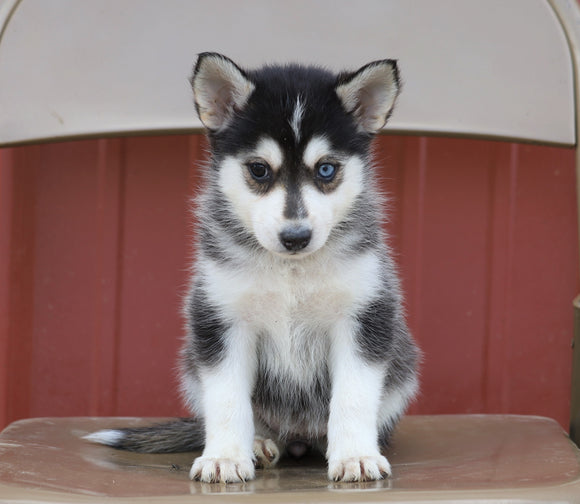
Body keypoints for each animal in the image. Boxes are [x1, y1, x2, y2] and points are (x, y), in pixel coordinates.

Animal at [86, 52, 420, 484]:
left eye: (326, 169)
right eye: (259, 169)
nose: (296, 236)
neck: (290, 271)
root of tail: (297, 437)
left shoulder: (365, 316)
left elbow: (354, 396)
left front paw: (355, 456)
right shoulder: (221, 320)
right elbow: (227, 400)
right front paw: (225, 457)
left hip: (402, 367)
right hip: (192, 365)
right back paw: (260, 444)